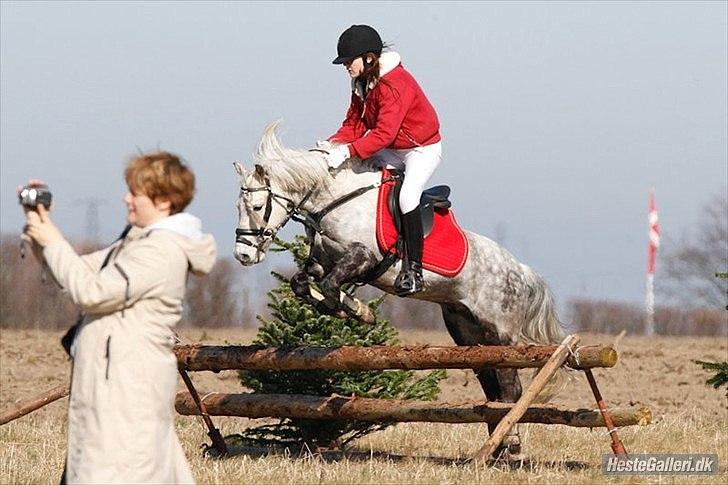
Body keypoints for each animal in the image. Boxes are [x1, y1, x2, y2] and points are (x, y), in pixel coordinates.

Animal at [233, 121, 568, 458]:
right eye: (238, 207)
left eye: (258, 206)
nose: (243, 255)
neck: (338, 199)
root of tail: (522, 271)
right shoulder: (323, 261)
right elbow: (303, 283)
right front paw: (340, 306)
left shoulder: (363, 257)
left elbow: (330, 285)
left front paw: (356, 310)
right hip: (468, 333)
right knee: (492, 385)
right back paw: (497, 446)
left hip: (500, 332)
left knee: (510, 385)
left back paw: (511, 446)